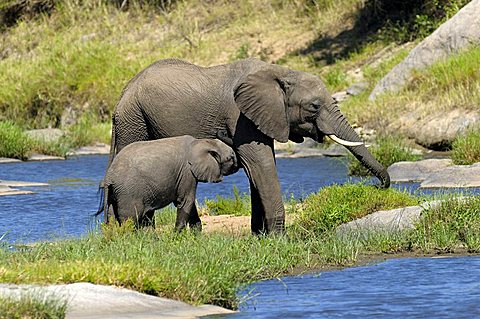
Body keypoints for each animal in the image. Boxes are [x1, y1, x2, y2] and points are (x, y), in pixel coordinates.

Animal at [99, 136, 238, 231]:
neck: (202, 142)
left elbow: (189, 203)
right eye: (230, 157)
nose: (236, 165)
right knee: (130, 219)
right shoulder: (187, 172)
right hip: (129, 192)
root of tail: (109, 177)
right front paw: (177, 237)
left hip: (115, 193)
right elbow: (186, 201)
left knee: (113, 216)